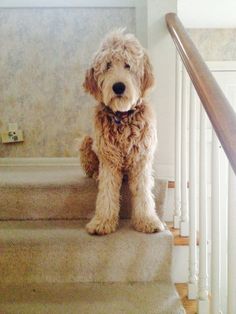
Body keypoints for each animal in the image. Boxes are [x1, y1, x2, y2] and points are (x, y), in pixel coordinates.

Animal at [79, 30, 164, 236]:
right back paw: (95, 174)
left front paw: (147, 220)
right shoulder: (109, 159)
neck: (122, 116)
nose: (118, 86)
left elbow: (143, 193)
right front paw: (102, 222)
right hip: (87, 141)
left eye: (128, 65)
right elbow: (107, 193)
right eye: (108, 65)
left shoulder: (142, 158)